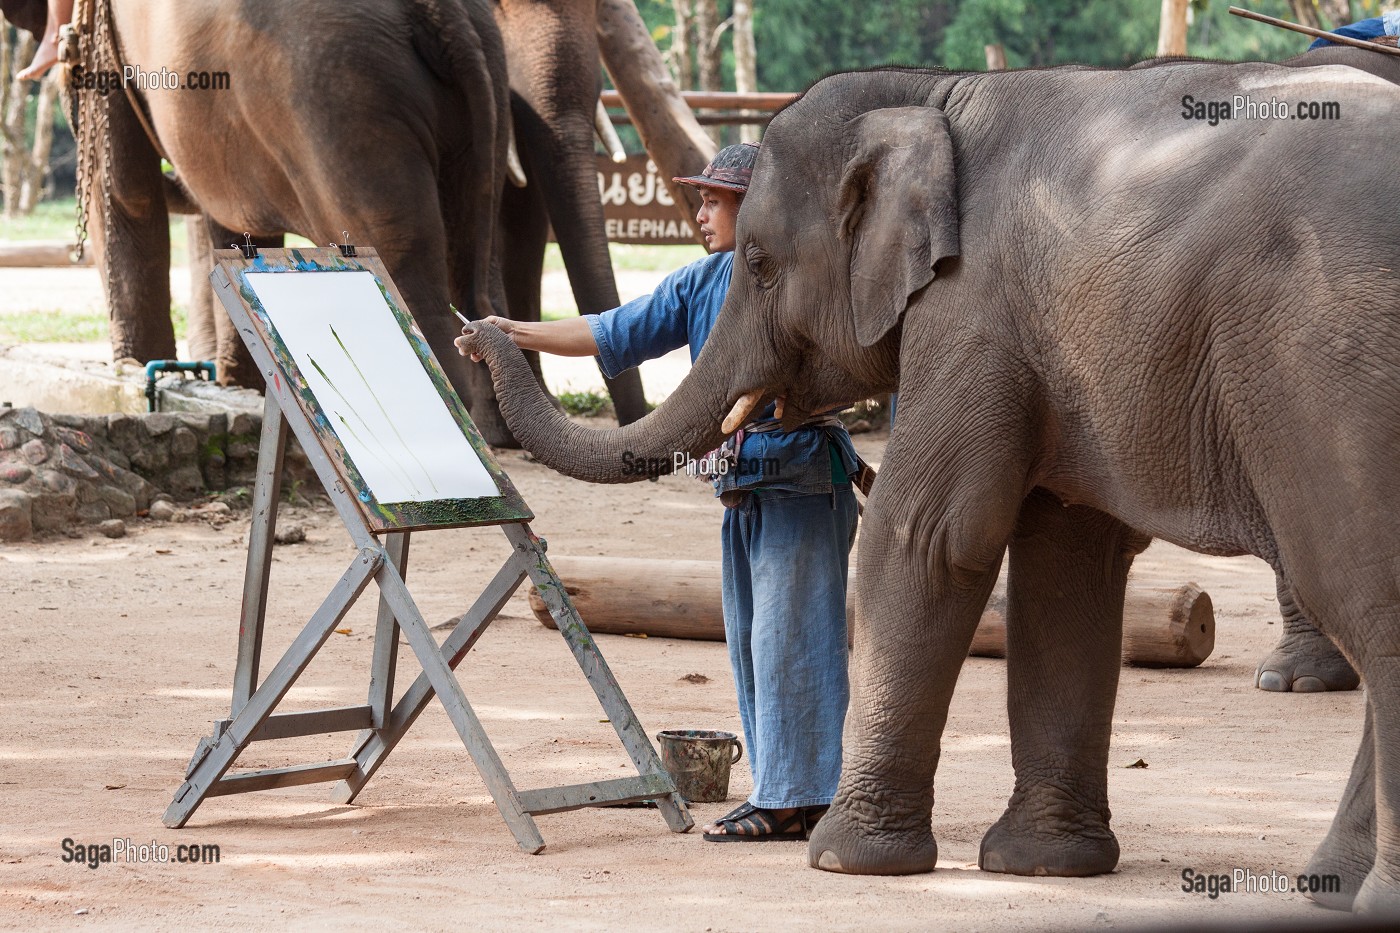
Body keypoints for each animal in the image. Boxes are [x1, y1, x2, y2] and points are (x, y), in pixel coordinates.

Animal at [458, 55, 1400, 912]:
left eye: (757, 262)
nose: (474, 330)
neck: (932, 93)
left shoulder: (972, 310)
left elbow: (926, 537)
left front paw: (845, 861)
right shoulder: (1040, 345)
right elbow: (1065, 566)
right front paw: (1042, 866)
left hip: (1328, 369)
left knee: (1360, 597)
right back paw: (1332, 886)